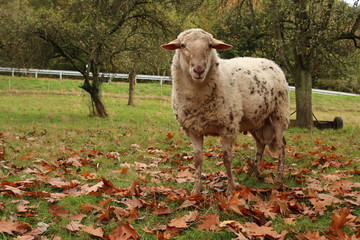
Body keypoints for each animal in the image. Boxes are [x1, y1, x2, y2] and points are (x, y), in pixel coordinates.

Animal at [162, 29, 292, 196]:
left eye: (210, 45)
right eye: (183, 45)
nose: (199, 70)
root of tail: (272, 63)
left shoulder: (228, 126)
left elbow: (227, 158)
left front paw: (230, 189)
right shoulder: (193, 129)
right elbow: (197, 159)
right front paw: (196, 190)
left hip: (279, 114)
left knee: (281, 146)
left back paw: (278, 178)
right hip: (255, 121)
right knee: (260, 144)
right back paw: (255, 173)